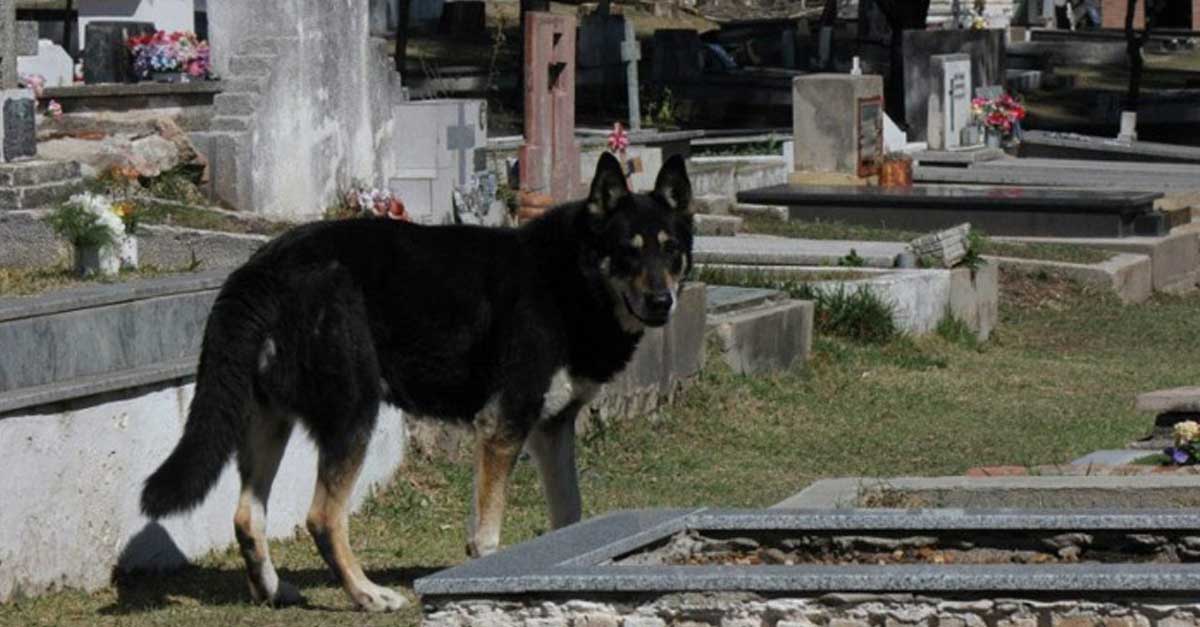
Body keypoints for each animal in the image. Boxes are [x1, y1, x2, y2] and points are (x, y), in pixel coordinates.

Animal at [142, 152, 696, 610]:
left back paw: (274, 592)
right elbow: (487, 533)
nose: (662, 303)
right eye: (628, 250)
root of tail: (260, 269)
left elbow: (571, 514)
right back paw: (367, 595)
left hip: (270, 423)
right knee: (322, 517)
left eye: (671, 250)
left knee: (247, 517)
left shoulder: (550, 428)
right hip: (354, 414)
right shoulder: (503, 426)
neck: (572, 276)